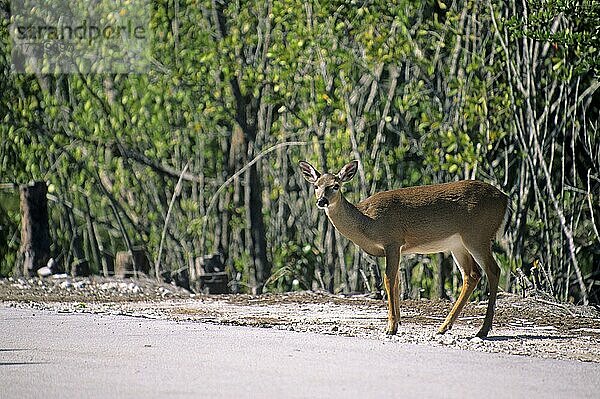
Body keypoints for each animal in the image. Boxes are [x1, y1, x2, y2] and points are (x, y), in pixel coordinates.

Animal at [298, 159, 508, 338]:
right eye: (316, 186)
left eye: (335, 185)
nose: (321, 201)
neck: (367, 222)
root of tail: (504, 199)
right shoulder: (398, 249)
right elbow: (397, 280)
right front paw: (397, 322)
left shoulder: (392, 240)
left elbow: (388, 279)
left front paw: (391, 327)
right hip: (458, 244)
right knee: (472, 275)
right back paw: (444, 327)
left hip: (478, 235)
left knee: (493, 270)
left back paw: (482, 330)